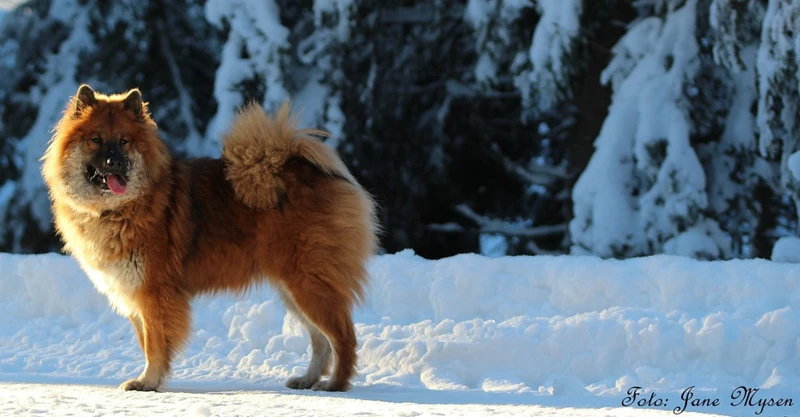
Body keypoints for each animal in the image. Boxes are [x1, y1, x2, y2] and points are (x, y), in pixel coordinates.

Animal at [42, 83, 380, 390]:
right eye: (96, 140)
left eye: (124, 141)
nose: (116, 163)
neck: (117, 209)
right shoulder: (134, 293)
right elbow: (146, 342)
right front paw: (152, 378)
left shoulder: (153, 293)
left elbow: (154, 344)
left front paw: (147, 381)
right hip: (293, 288)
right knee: (321, 341)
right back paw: (308, 379)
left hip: (308, 282)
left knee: (343, 336)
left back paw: (335, 384)